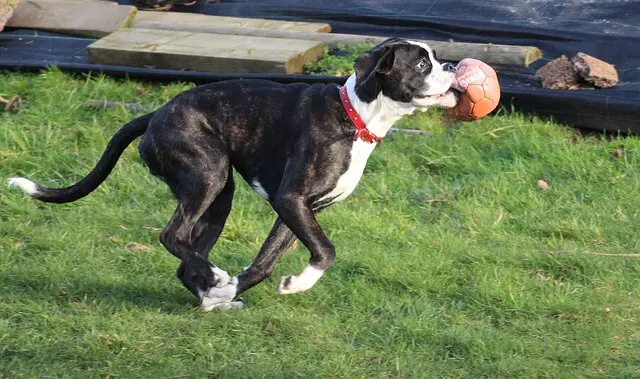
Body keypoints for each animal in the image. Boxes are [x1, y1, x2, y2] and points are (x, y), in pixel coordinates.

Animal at [7, 37, 458, 312]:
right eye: (423, 63)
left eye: (436, 58)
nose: (453, 65)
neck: (356, 113)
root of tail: (156, 114)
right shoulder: (291, 201)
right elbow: (326, 252)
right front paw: (297, 284)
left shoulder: (298, 211)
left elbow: (263, 264)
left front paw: (235, 292)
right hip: (207, 176)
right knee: (172, 236)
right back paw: (213, 278)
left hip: (219, 197)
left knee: (185, 255)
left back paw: (212, 294)